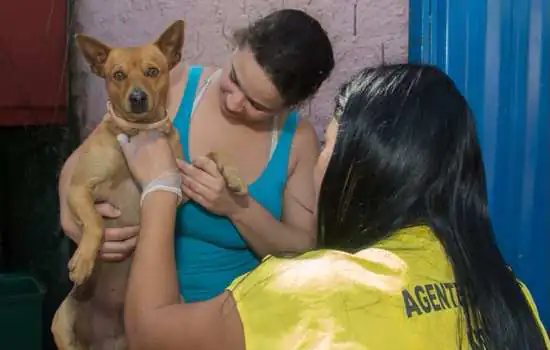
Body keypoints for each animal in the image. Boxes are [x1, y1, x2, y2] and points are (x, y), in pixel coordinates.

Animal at [51, 20, 248, 348]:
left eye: (153, 71)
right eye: (118, 75)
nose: (137, 97)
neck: (139, 131)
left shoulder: (178, 181)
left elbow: (214, 153)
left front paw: (233, 175)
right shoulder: (78, 190)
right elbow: (95, 222)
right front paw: (84, 259)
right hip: (62, 323)